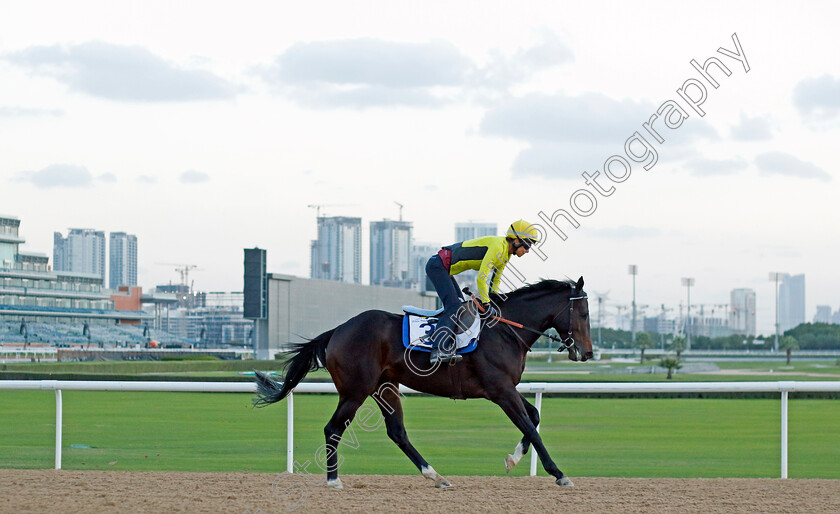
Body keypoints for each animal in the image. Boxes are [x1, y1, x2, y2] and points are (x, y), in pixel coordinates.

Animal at [254, 274, 592, 486]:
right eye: (584, 313)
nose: (587, 352)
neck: (504, 330)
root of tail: (337, 330)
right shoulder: (500, 390)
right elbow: (530, 427)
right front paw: (559, 473)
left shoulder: (507, 388)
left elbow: (533, 417)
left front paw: (513, 459)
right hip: (355, 390)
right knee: (333, 428)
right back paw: (333, 480)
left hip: (384, 387)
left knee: (397, 432)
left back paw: (435, 476)